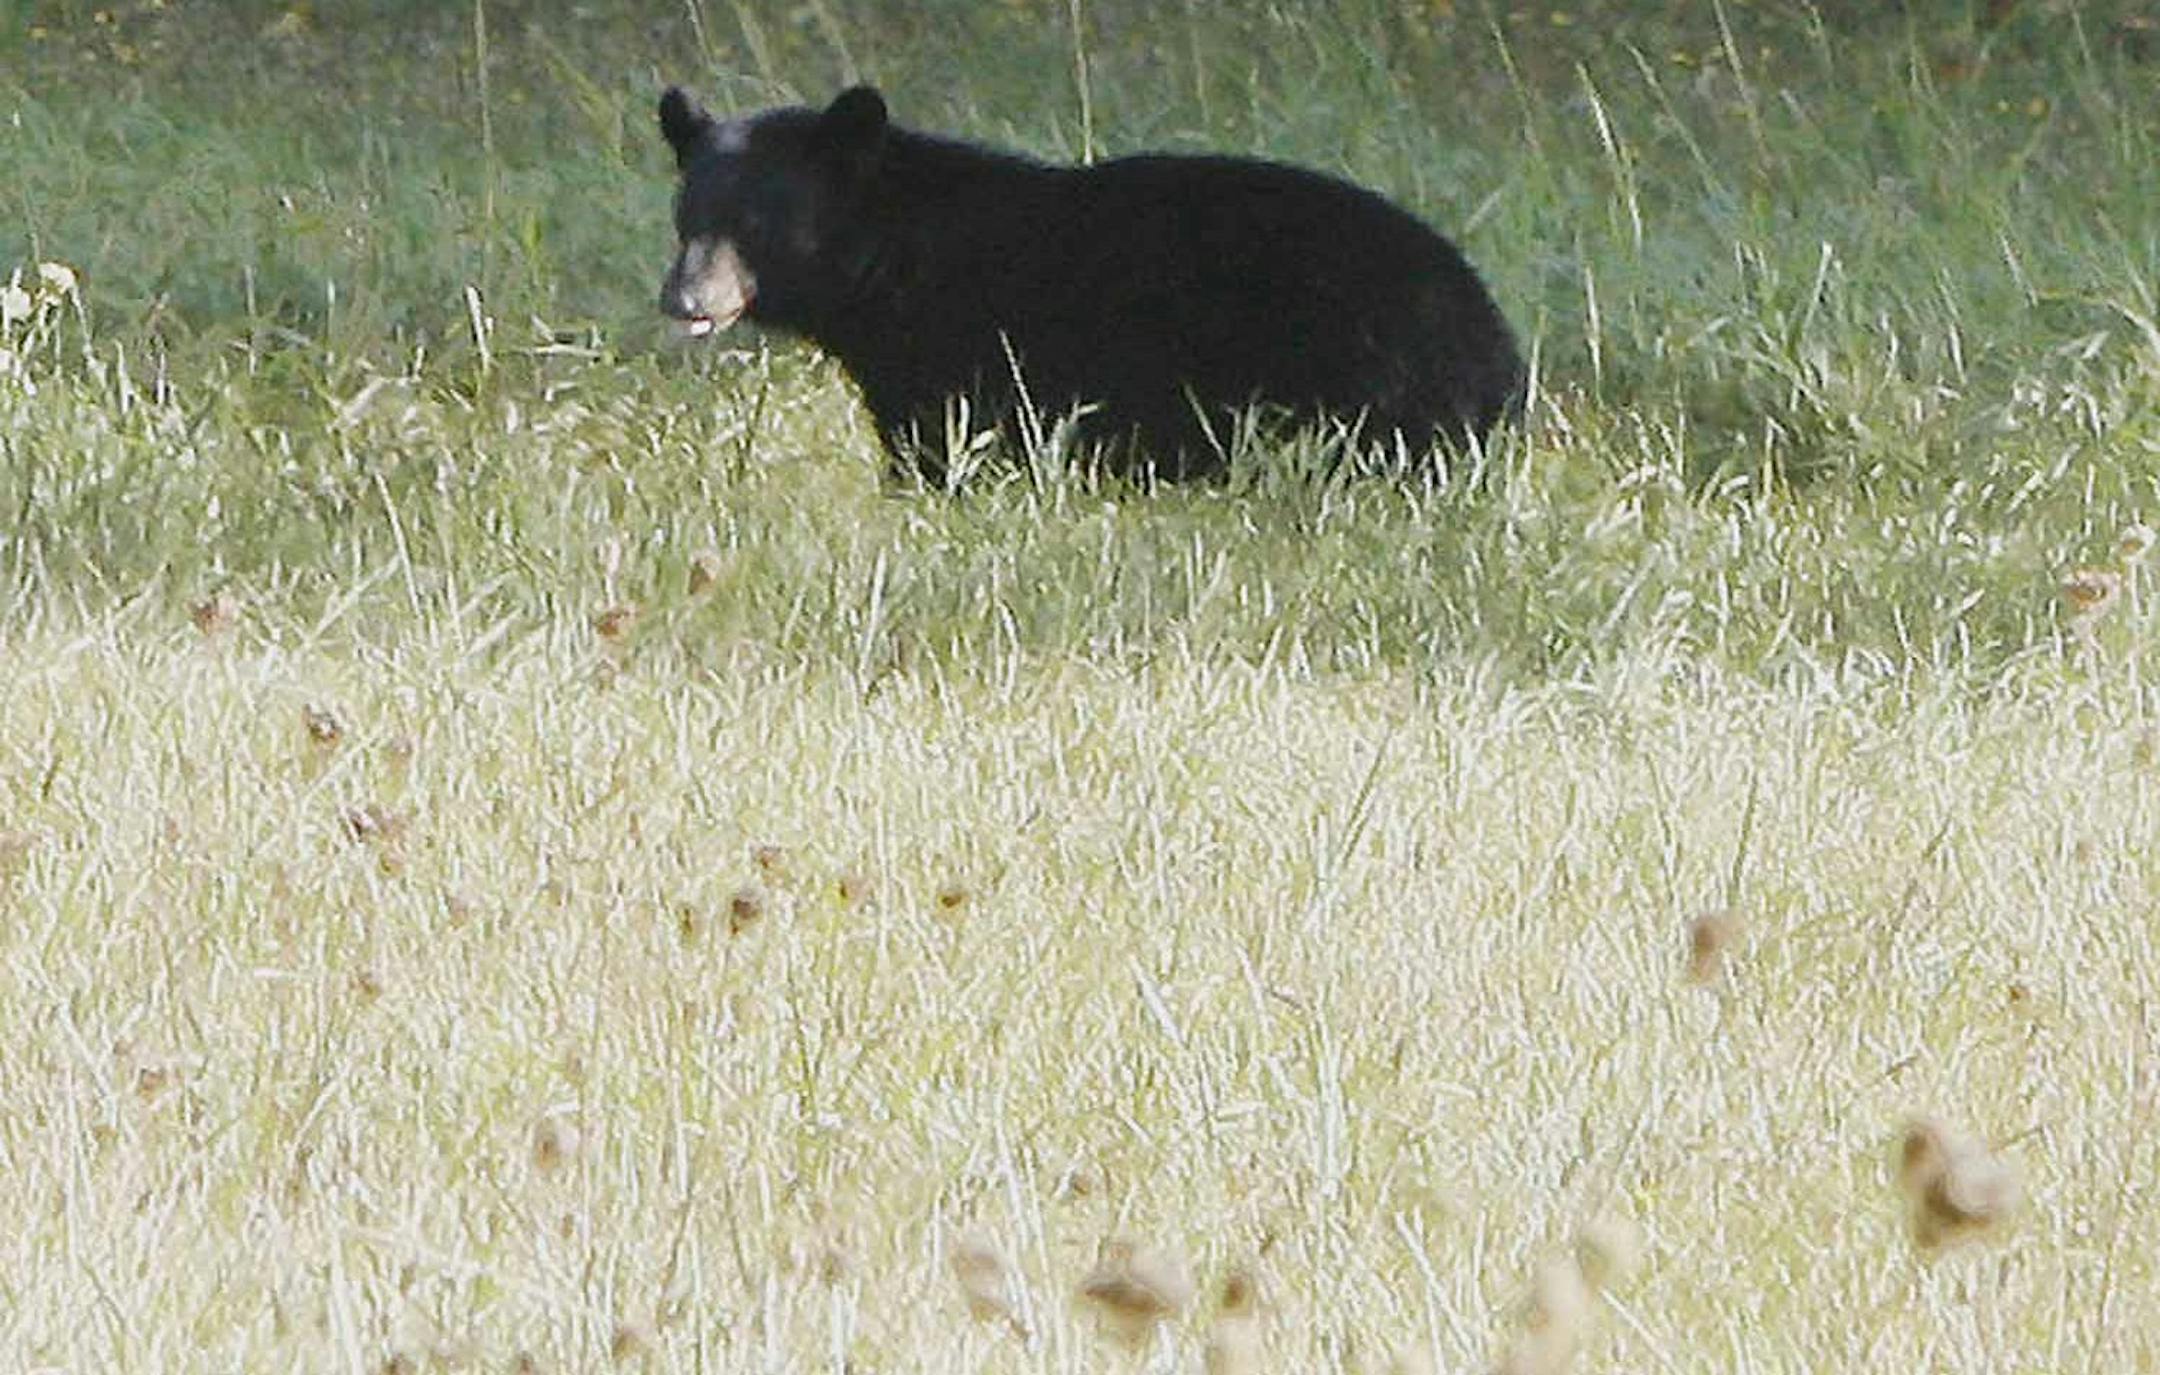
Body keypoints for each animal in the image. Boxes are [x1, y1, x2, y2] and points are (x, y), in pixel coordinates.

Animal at [658, 84, 1524, 481]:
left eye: (759, 223)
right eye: (686, 213)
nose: (684, 298)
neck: (895, 260)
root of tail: (1495, 340)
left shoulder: (963, 346)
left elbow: (951, 444)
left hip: (1351, 372)